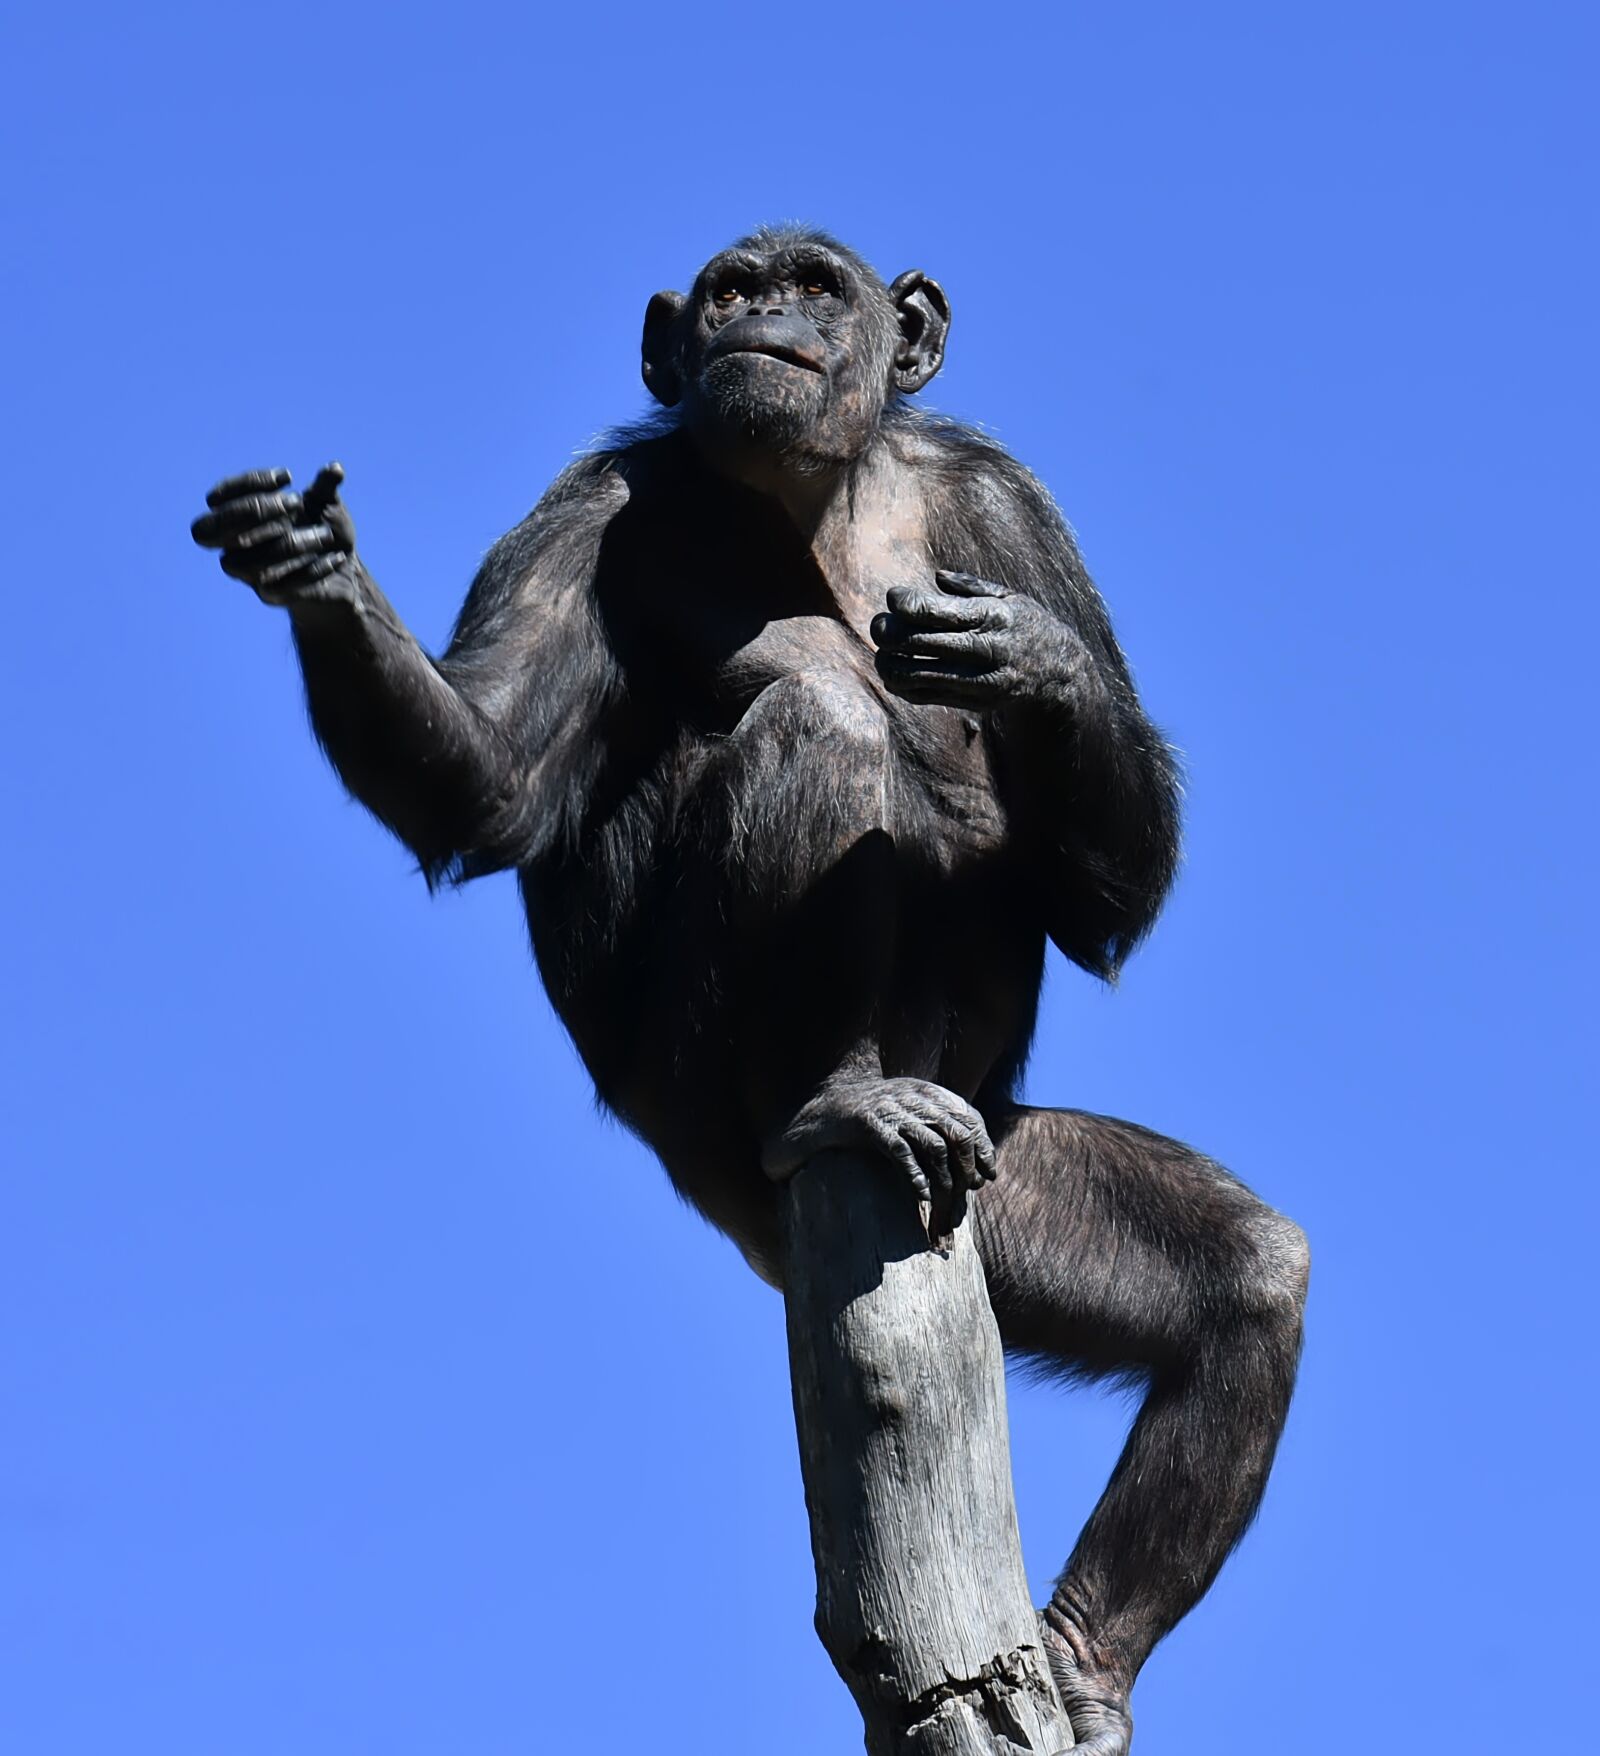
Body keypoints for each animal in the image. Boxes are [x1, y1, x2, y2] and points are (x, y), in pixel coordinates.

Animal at [192, 227, 1307, 1755]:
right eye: (731, 289)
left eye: (815, 286)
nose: (764, 313)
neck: (811, 496)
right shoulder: (581, 510)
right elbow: (497, 776)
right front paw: (318, 573)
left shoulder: (1010, 505)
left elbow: (1106, 906)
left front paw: (1037, 662)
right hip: (698, 1103)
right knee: (818, 722)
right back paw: (834, 1100)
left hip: (994, 1186)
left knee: (1247, 1279)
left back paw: (1082, 1661)